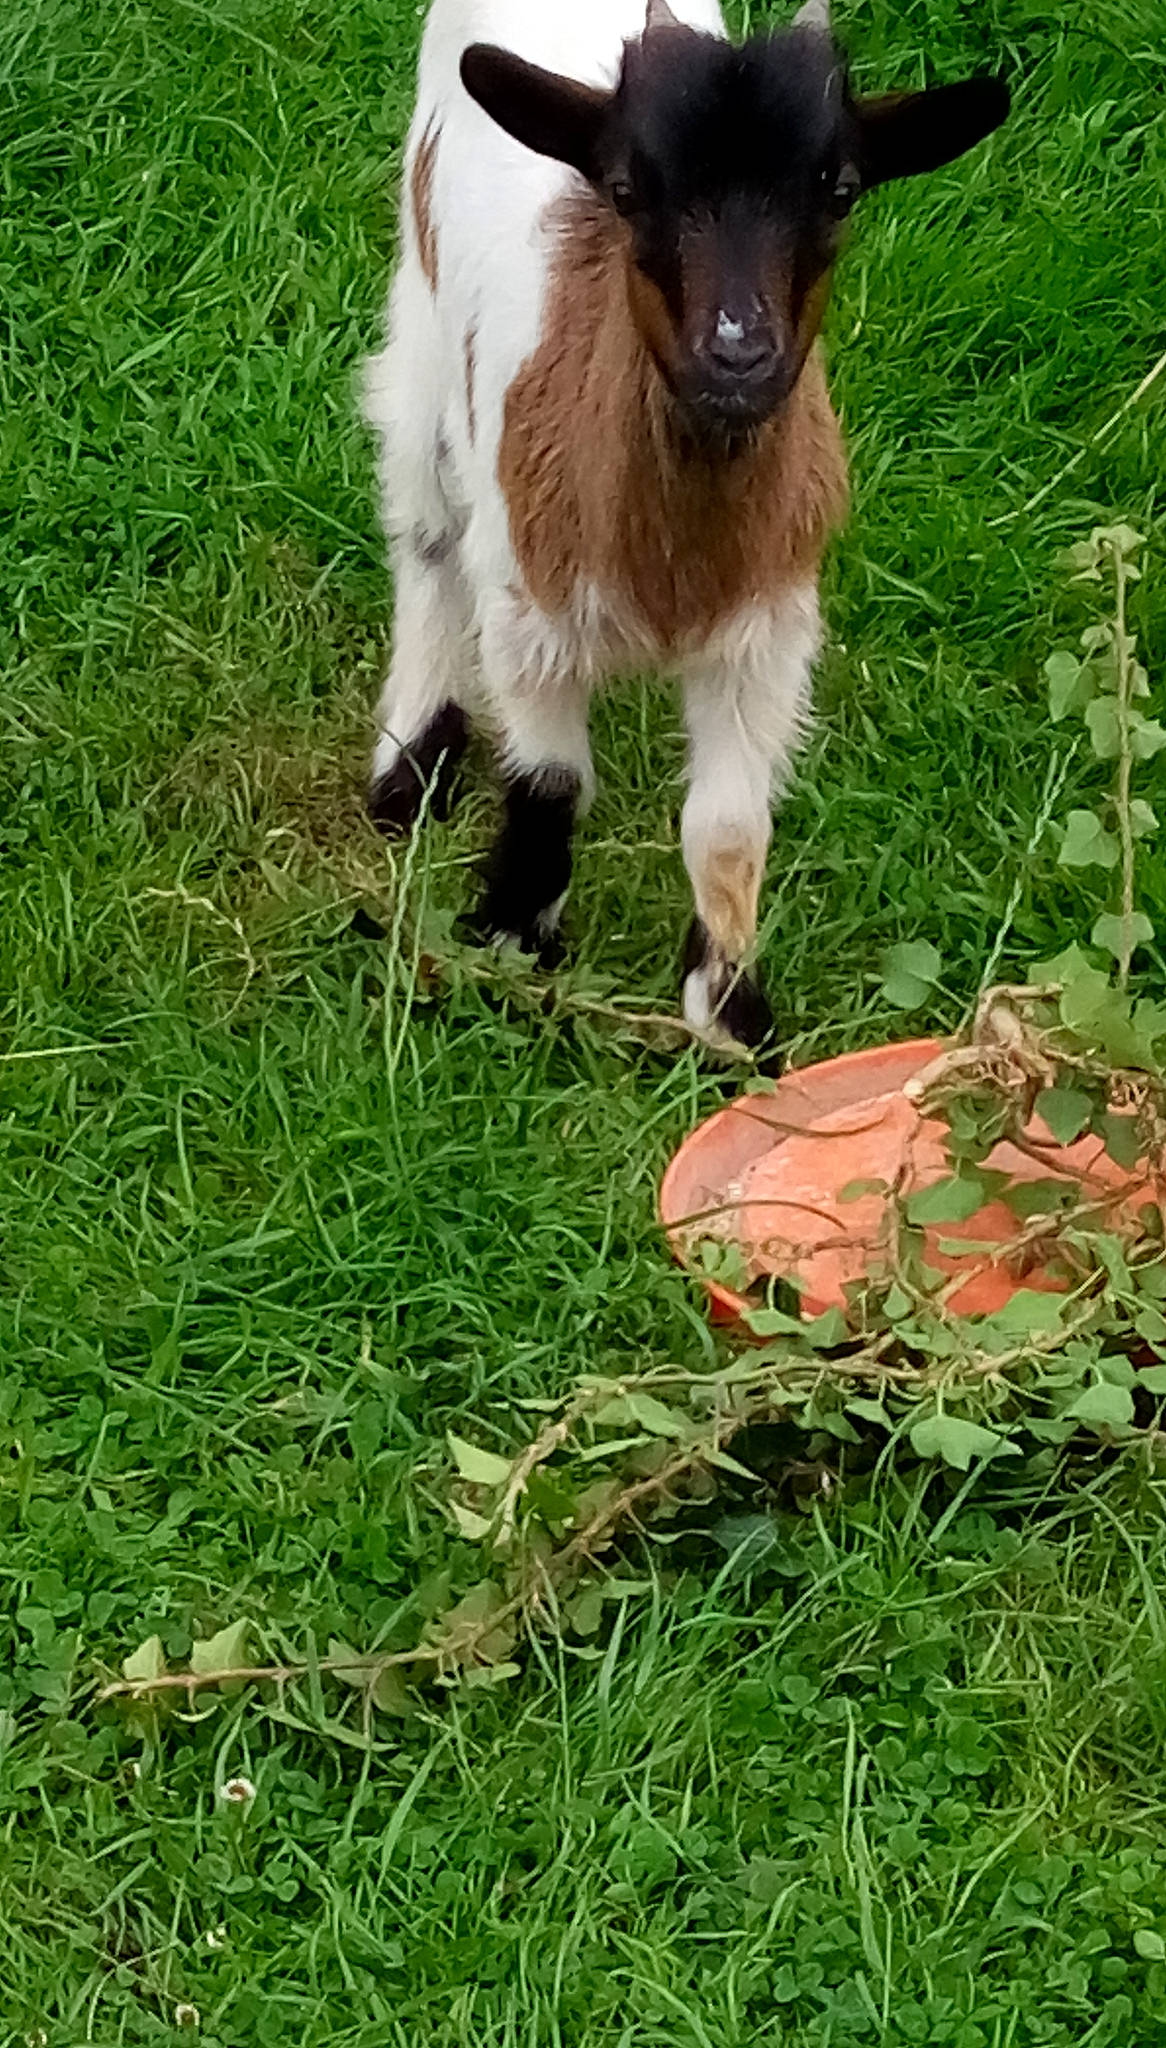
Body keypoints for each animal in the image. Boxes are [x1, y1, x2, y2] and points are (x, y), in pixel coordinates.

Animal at [362, 0, 1008, 1047]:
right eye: (627, 189)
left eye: (841, 190)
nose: (737, 355)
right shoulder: (529, 611)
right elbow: (550, 783)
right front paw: (511, 941)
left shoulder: (769, 637)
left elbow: (729, 829)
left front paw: (729, 1014)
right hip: (420, 329)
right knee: (422, 533)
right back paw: (407, 766)